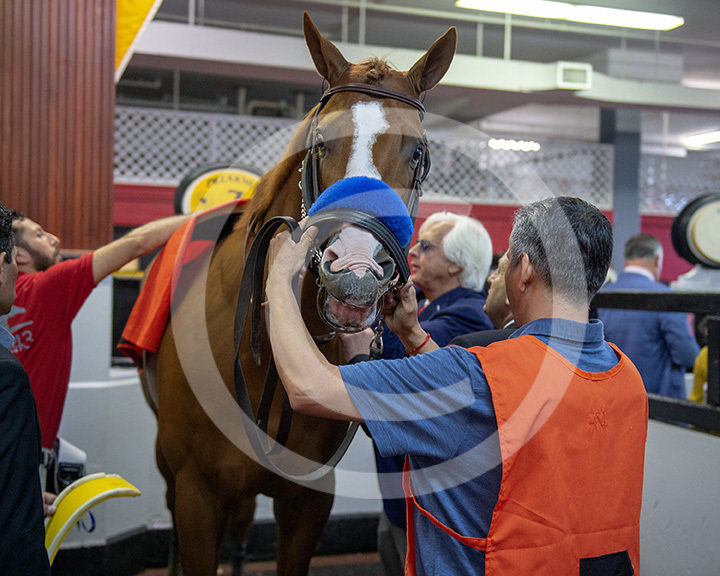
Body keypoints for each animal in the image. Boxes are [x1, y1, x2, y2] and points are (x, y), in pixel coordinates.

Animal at [141, 13, 456, 576]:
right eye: (322, 143)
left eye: (417, 150)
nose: (355, 271)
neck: (261, 352)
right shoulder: (197, 496)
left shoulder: (309, 498)